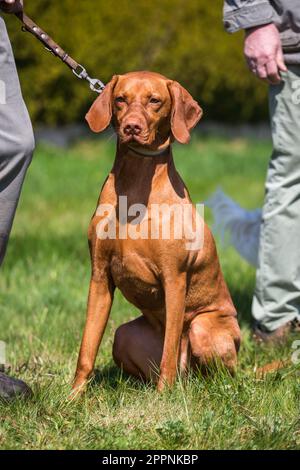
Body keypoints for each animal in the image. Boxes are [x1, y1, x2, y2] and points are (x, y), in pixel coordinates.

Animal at [71, 70, 240, 392]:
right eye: (120, 99)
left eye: (155, 101)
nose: (131, 127)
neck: (136, 182)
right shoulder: (99, 276)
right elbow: (86, 349)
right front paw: (72, 397)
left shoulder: (174, 279)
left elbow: (168, 353)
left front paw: (164, 397)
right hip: (123, 335)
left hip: (202, 327)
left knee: (212, 371)